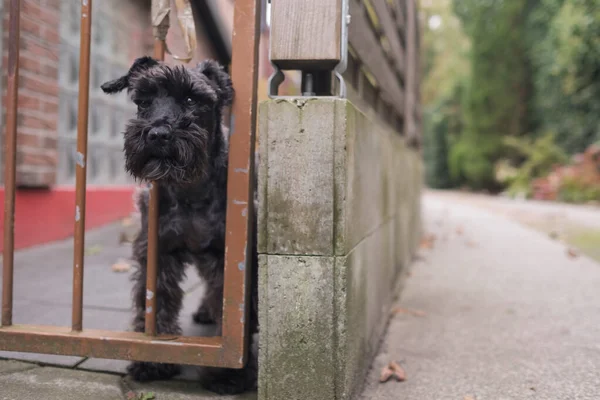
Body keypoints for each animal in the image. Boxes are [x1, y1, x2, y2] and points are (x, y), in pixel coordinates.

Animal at [100, 57, 258, 396]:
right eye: (144, 102)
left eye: (190, 99)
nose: (158, 134)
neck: (191, 189)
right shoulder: (157, 253)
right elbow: (156, 300)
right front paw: (153, 360)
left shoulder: (234, 260)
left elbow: (238, 317)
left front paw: (231, 374)